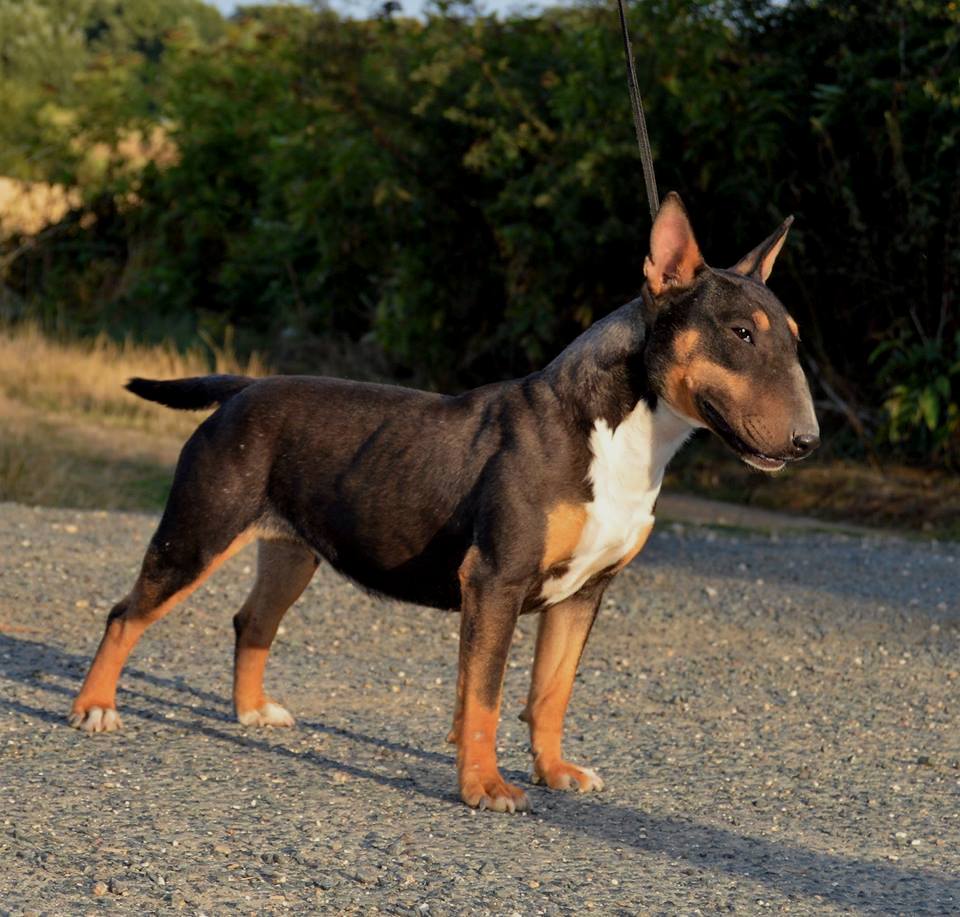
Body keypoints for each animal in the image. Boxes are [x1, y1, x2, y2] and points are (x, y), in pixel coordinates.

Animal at [67, 193, 816, 808]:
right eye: (741, 333)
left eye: (793, 339)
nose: (809, 440)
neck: (618, 433)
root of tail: (243, 390)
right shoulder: (495, 579)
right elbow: (484, 696)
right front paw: (485, 787)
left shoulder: (583, 593)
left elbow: (551, 691)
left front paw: (555, 772)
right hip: (197, 534)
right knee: (126, 613)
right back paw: (95, 707)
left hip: (291, 552)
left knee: (252, 621)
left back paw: (252, 713)